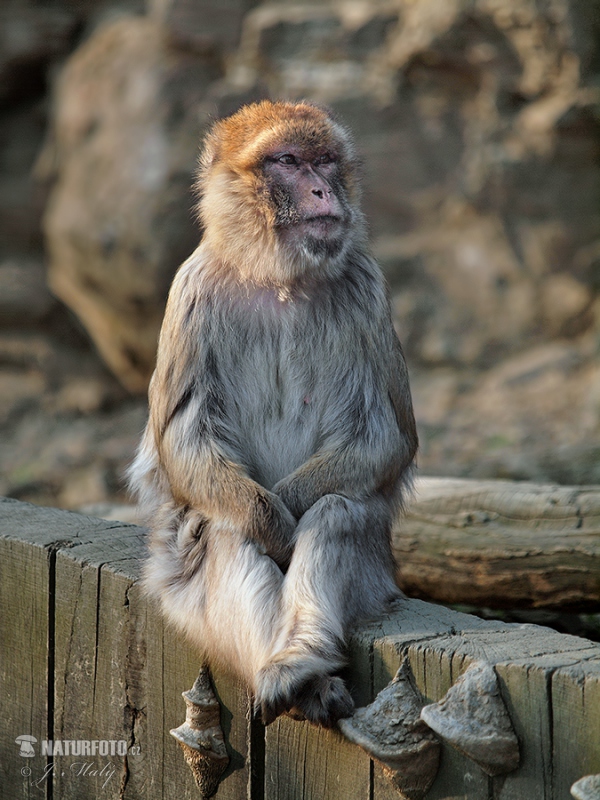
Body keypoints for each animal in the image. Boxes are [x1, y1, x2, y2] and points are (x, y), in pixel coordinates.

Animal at [127, 98, 418, 724]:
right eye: (287, 161)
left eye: (326, 160)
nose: (321, 191)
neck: (276, 275)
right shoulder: (192, 292)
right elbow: (186, 441)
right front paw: (273, 522)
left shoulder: (367, 288)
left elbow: (384, 438)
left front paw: (292, 511)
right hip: (179, 578)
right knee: (224, 526)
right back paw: (290, 672)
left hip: (374, 575)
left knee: (339, 510)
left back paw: (302, 651)